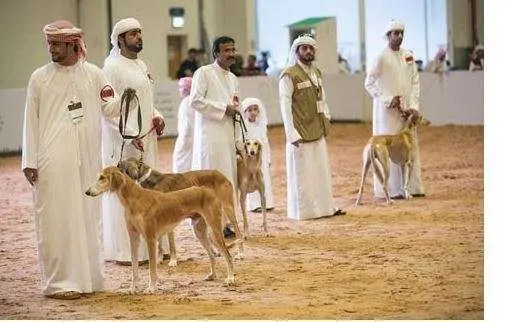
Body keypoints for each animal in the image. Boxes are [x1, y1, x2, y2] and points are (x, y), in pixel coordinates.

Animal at [84, 167, 238, 294]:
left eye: (102, 177)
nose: (87, 192)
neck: (135, 199)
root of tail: (207, 189)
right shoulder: (133, 238)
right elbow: (134, 266)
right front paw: (133, 288)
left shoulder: (150, 238)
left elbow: (152, 267)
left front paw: (151, 287)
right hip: (199, 231)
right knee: (212, 254)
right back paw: (213, 275)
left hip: (214, 230)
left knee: (227, 255)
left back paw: (230, 278)